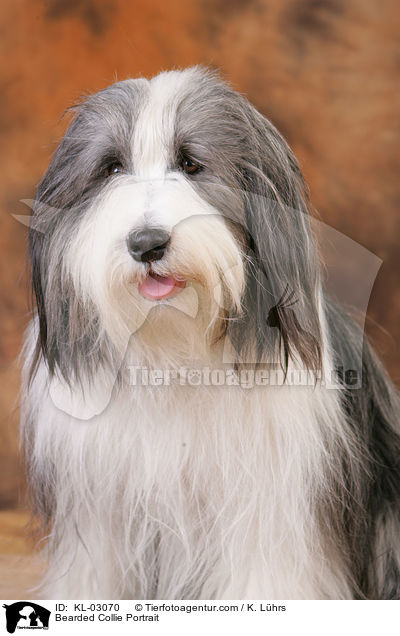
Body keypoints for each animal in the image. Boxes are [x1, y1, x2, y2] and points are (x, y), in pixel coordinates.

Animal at [21, 67, 400, 600]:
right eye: (111, 168)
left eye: (191, 163)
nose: (147, 243)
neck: (176, 349)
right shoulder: (101, 508)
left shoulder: (265, 506)